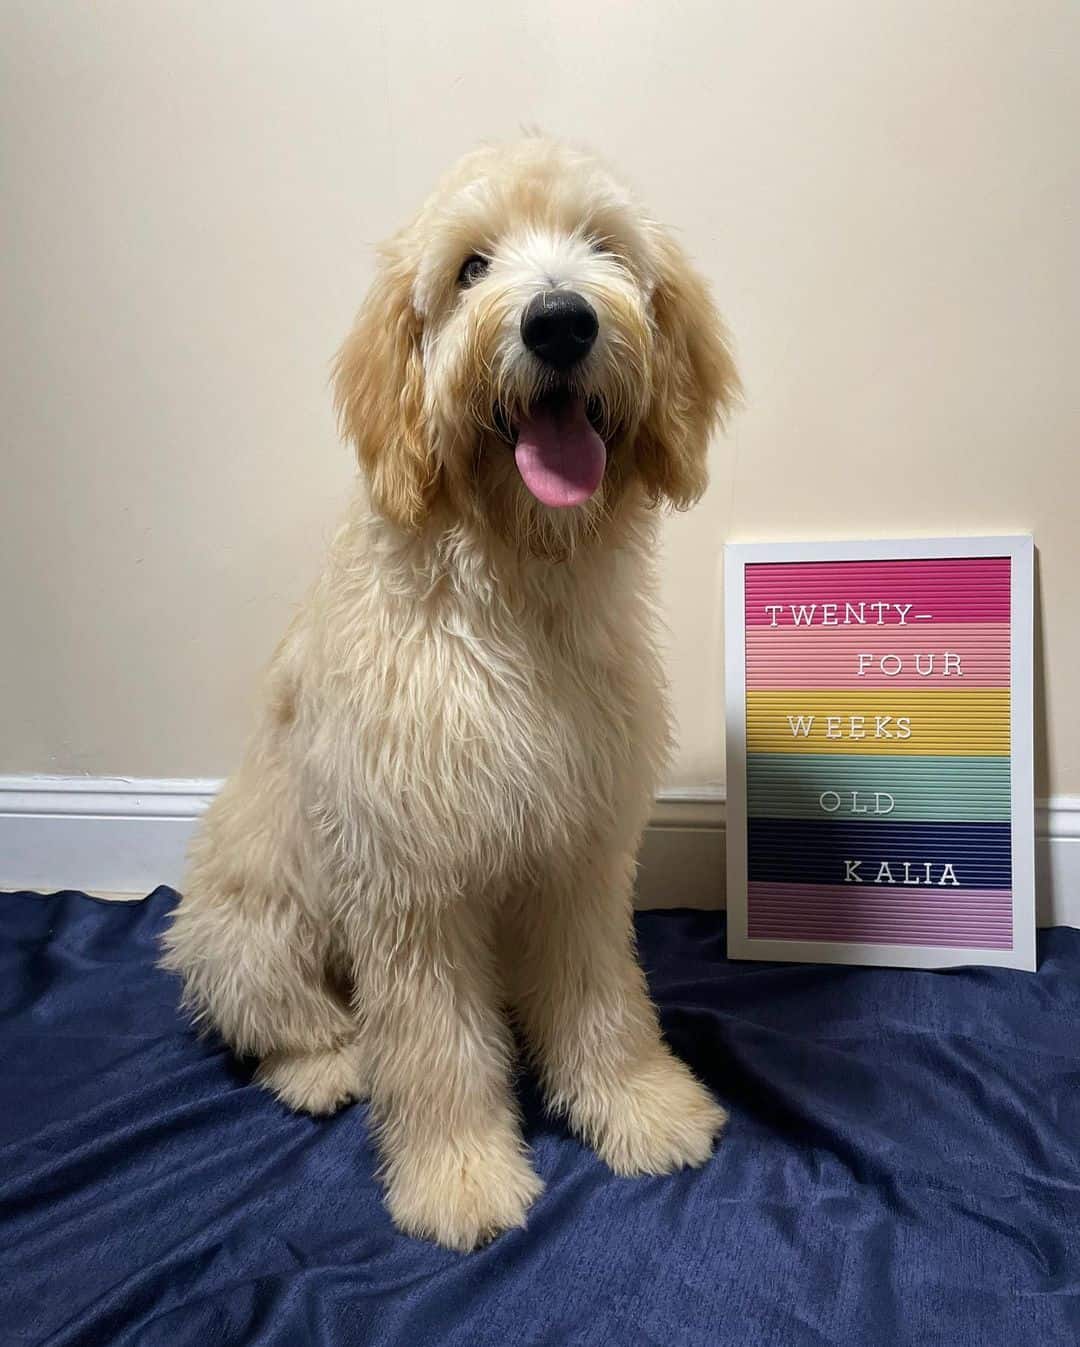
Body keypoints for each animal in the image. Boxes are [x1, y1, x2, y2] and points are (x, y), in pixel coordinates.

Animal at [162, 136, 743, 1250]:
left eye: (603, 246)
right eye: (472, 267)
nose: (560, 320)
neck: (515, 589)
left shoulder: (581, 852)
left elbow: (604, 997)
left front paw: (640, 1106)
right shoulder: (409, 878)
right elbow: (434, 1044)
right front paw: (461, 1175)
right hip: (247, 926)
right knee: (283, 1019)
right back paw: (326, 1065)